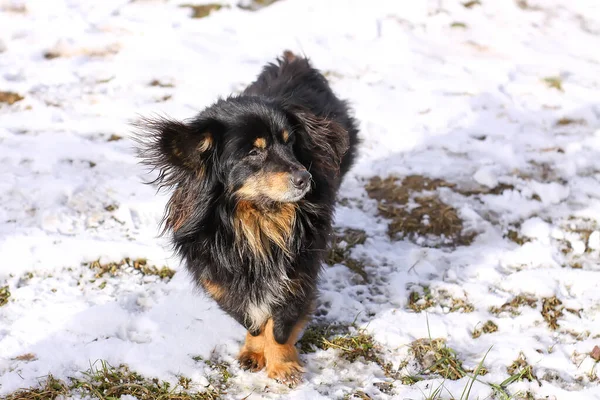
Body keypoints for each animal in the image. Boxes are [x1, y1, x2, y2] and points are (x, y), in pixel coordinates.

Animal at [137, 50, 358, 384]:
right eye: (254, 152)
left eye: (290, 142)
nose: (305, 178)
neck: (256, 218)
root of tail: (293, 60)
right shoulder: (220, 277)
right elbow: (250, 320)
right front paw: (254, 352)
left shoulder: (297, 275)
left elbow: (280, 326)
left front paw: (283, 366)